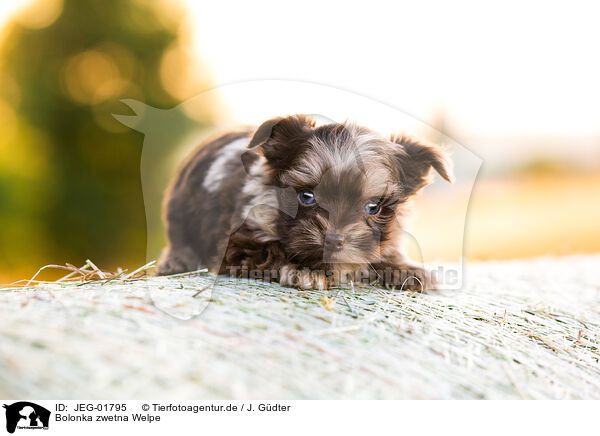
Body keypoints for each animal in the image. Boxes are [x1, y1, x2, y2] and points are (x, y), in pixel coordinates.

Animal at [157, 115, 452, 290]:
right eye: (306, 197)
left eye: (373, 207)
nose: (334, 240)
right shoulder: (237, 244)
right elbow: (271, 250)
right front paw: (307, 270)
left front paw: (407, 270)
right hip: (179, 212)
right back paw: (176, 262)